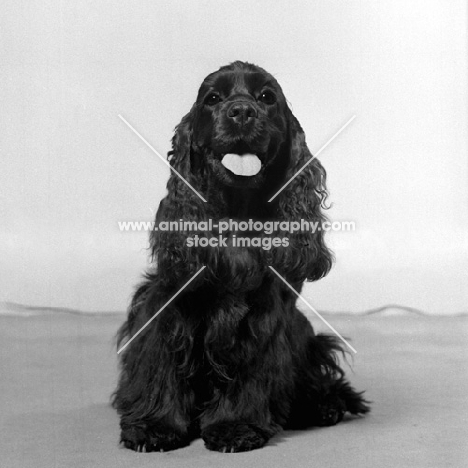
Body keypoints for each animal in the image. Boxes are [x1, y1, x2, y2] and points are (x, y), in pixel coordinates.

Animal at [113, 60, 370, 452]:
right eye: (213, 98)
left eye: (266, 97)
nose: (242, 112)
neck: (237, 210)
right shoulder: (170, 304)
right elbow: (162, 364)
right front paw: (154, 426)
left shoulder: (263, 314)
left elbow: (249, 369)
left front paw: (235, 426)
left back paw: (324, 405)